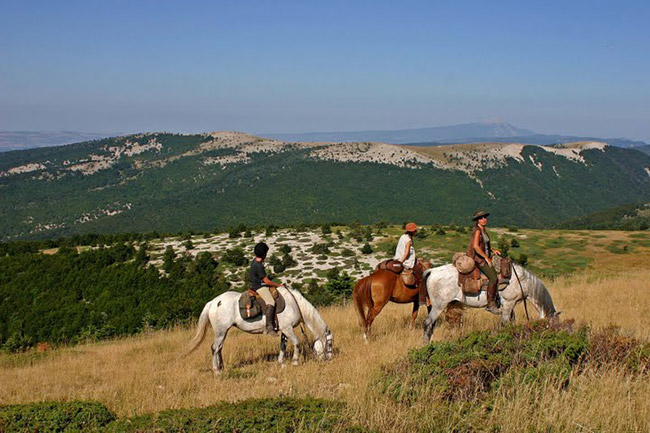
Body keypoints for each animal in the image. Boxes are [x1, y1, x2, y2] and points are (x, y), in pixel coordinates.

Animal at [185, 286, 332, 372]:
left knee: (219, 348)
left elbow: (283, 346)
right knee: (215, 348)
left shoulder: (284, 330)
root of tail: (213, 303)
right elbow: (297, 343)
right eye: (330, 343)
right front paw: (295, 362)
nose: (329, 359)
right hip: (220, 332)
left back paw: (222, 367)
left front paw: (281, 362)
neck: (294, 303)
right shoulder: (288, 328)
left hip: (223, 332)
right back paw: (216, 370)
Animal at [420, 262, 556, 342]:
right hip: (439, 305)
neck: (522, 281)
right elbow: (504, 323)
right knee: (428, 322)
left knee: (432, 325)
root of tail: (432, 271)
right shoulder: (508, 303)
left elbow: (512, 321)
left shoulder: (511, 306)